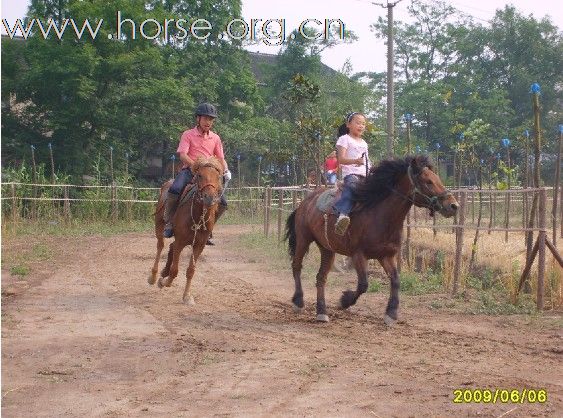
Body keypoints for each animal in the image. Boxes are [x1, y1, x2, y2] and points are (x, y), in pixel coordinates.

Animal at [150, 157, 225, 304]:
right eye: (200, 175)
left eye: (217, 176)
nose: (209, 197)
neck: (197, 215)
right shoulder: (180, 242)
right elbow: (175, 270)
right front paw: (165, 282)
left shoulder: (199, 245)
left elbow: (190, 271)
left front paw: (187, 296)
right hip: (159, 226)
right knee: (160, 246)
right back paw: (154, 277)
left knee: (170, 248)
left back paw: (163, 272)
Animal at [284, 155, 460, 324]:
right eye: (428, 181)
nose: (454, 206)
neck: (380, 216)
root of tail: (305, 202)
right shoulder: (358, 255)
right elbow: (363, 284)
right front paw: (344, 301)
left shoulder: (386, 255)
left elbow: (396, 280)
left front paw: (391, 313)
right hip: (303, 239)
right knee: (296, 266)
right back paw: (298, 301)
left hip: (327, 248)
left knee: (321, 277)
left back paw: (321, 312)